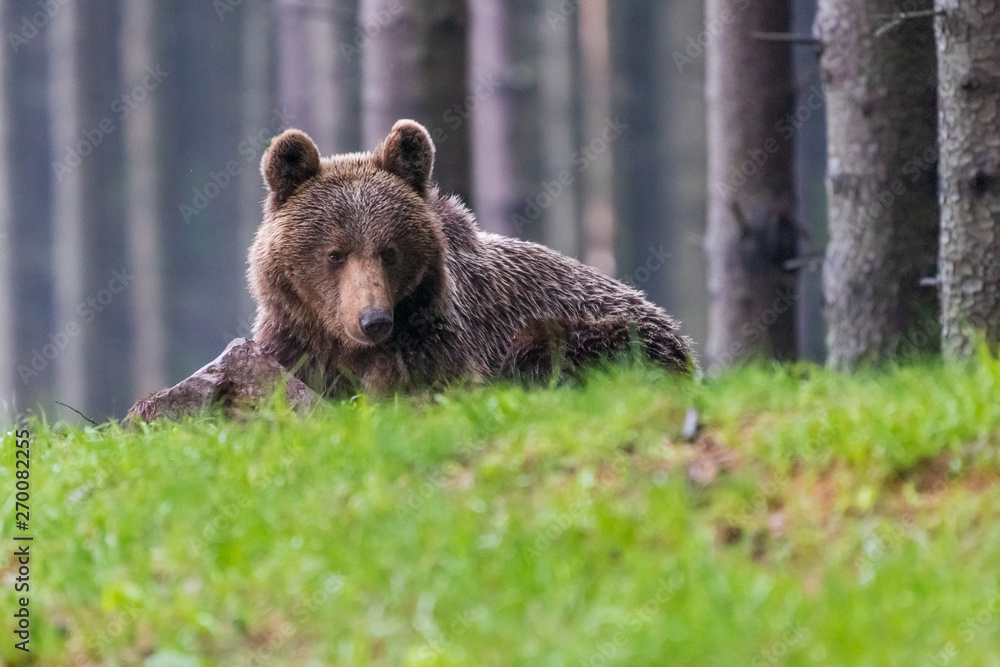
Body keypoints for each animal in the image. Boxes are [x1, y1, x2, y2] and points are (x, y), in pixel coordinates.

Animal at [248, 119, 693, 397]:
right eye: (335, 253)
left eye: (389, 251)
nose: (373, 320)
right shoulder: (292, 340)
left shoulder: (441, 339)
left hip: (614, 332)